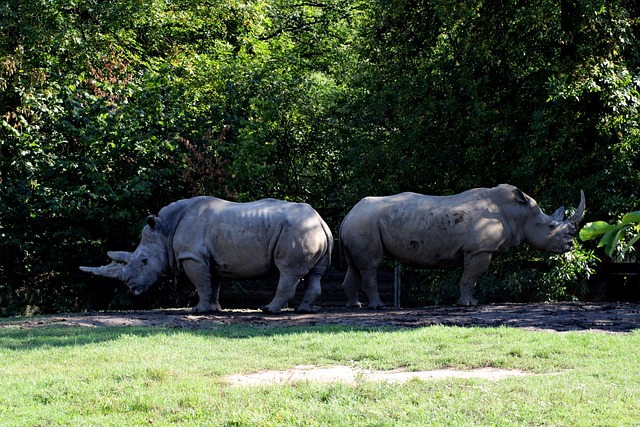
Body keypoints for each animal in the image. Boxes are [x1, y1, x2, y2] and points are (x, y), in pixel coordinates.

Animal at [81, 196, 333, 314]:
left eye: (144, 261)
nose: (132, 289)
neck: (165, 231)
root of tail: (321, 220)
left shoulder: (192, 256)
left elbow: (201, 283)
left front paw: (198, 311)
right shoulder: (211, 258)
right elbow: (213, 284)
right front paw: (214, 309)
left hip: (297, 231)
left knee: (288, 272)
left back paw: (268, 310)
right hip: (311, 231)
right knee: (315, 273)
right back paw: (304, 310)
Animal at [340, 184, 585, 308]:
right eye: (551, 226)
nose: (570, 244)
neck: (518, 214)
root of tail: (349, 214)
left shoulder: (478, 250)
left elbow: (471, 279)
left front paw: (473, 302)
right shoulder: (479, 250)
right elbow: (470, 278)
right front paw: (468, 305)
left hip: (358, 224)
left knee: (354, 265)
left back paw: (354, 306)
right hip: (365, 222)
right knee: (371, 264)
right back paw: (378, 307)